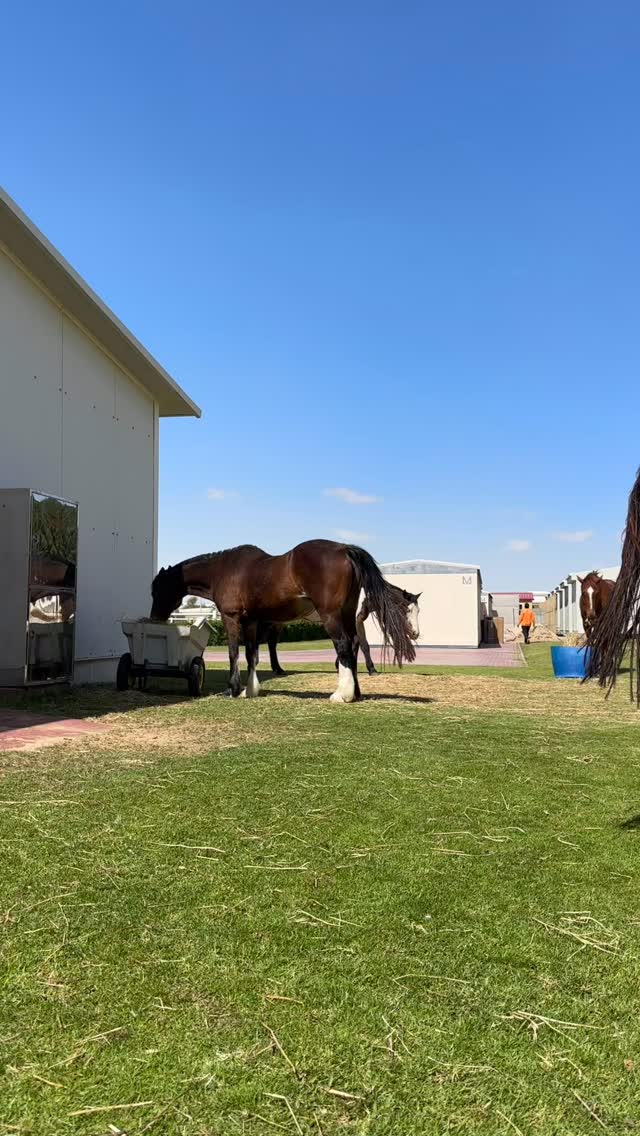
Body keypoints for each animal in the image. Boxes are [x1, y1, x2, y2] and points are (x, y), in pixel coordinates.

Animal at [263, 584, 421, 677]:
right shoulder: (356, 621)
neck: (364, 595)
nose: (415, 633)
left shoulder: (356, 621)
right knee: (271, 643)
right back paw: (277, 669)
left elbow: (354, 642)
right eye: (406, 609)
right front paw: (371, 669)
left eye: (418, 611)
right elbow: (363, 645)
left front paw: (344, 665)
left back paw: (278, 669)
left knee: (272, 643)